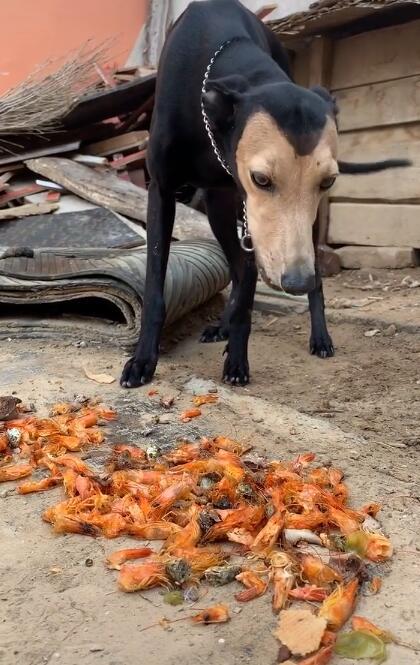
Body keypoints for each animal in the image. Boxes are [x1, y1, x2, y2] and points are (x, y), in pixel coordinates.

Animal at [120, 0, 408, 390]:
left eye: (328, 181)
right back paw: (224, 324)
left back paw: (318, 335)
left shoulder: (255, 218)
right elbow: (154, 286)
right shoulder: (162, 191)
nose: (297, 282)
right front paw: (143, 359)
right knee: (237, 266)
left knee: (272, 273)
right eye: (261, 178)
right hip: (219, 209)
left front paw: (237, 360)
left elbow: (248, 289)